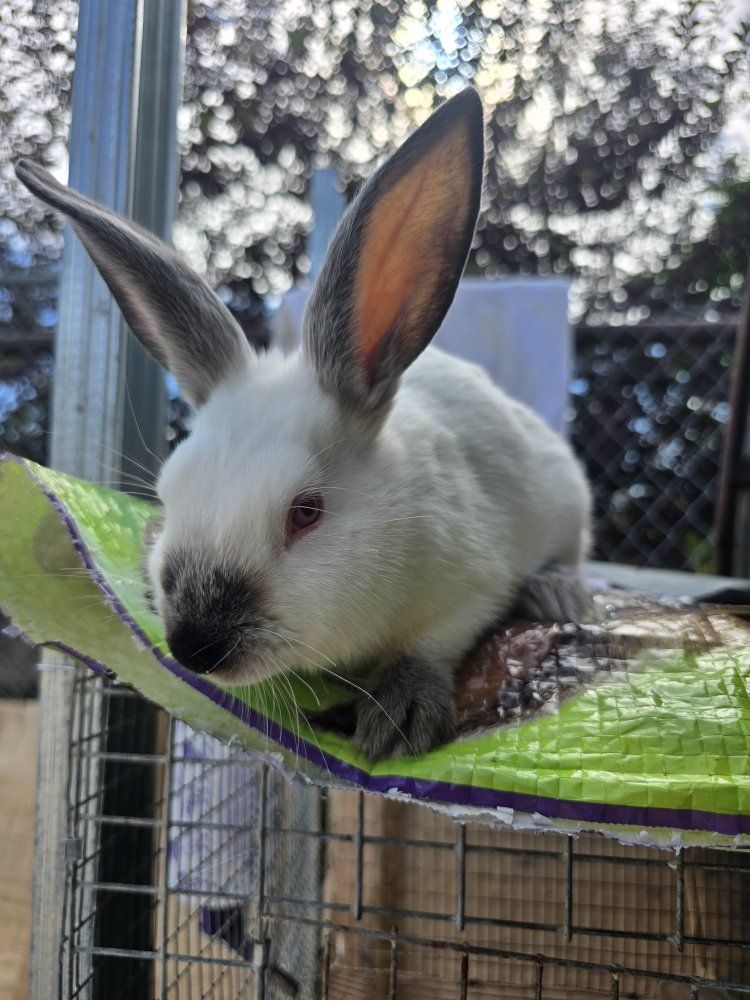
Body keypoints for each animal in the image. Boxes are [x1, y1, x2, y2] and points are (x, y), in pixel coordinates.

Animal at [16, 87, 592, 762]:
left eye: (307, 512)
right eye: (169, 493)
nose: (194, 648)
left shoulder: (472, 585)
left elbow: (430, 646)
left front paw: (398, 718)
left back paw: (558, 592)